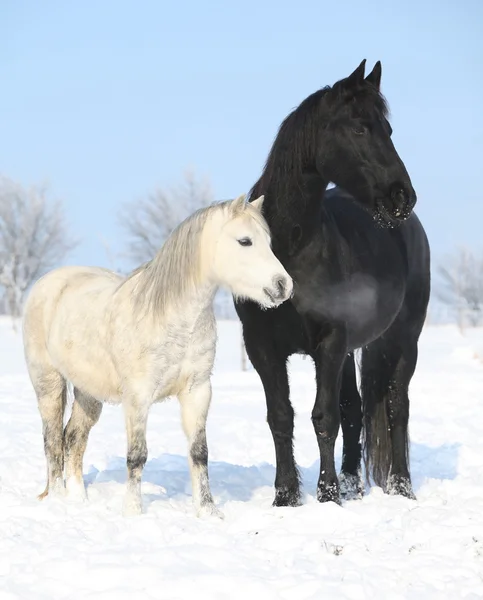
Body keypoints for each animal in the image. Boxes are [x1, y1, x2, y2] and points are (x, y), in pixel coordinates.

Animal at [22, 195, 294, 516]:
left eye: (269, 242)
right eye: (245, 241)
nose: (283, 285)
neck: (171, 320)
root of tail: (49, 282)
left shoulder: (197, 391)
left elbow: (199, 452)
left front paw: (208, 512)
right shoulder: (138, 397)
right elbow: (137, 455)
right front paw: (133, 511)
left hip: (88, 393)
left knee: (73, 439)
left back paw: (78, 500)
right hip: (48, 383)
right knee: (52, 441)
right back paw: (58, 499)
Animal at [234, 61, 432, 508]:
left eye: (387, 129)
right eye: (359, 128)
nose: (403, 196)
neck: (290, 248)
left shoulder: (329, 340)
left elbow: (324, 417)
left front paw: (326, 497)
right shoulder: (262, 345)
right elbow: (281, 417)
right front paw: (286, 496)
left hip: (401, 340)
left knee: (396, 407)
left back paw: (401, 488)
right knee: (356, 409)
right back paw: (353, 486)